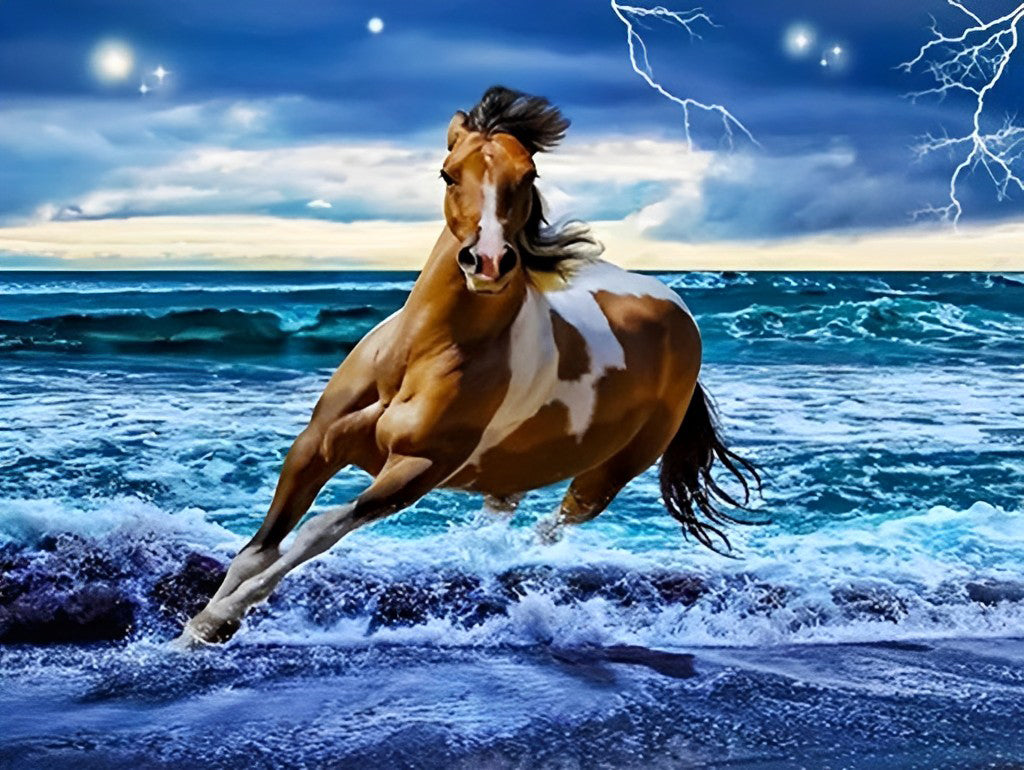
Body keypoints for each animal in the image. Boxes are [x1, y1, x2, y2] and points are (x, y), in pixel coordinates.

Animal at [179, 86, 760, 646]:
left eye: (528, 175)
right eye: (448, 172)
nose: (488, 262)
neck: (415, 358)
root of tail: (679, 312)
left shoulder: (417, 468)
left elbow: (318, 529)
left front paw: (215, 623)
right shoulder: (314, 445)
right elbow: (258, 549)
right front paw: (191, 630)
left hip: (608, 474)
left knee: (552, 526)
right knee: (505, 511)